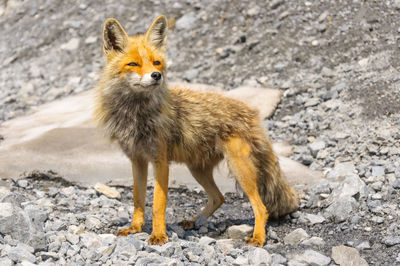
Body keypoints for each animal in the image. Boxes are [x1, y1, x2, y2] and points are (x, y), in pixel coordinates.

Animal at [95, 15, 298, 247]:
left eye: (156, 63)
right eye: (133, 64)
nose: (156, 76)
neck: (136, 115)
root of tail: (252, 113)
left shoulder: (160, 161)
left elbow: (157, 204)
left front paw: (158, 235)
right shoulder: (137, 160)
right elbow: (138, 200)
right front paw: (135, 228)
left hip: (239, 168)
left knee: (261, 207)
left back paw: (258, 237)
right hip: (197, 169)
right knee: (219, 197)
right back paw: (194, 221)